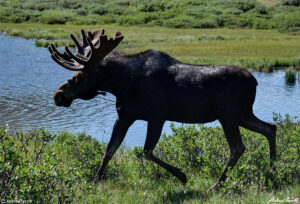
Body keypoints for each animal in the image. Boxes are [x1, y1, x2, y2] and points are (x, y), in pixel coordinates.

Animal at [47, 28, 276, 190]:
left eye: (81, 76)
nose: (59, 95)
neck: (122, 85)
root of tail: (255, 81)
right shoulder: (124, 116)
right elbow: (110, 149)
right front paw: (95, 180)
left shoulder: (157, 116)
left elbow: (147, 151)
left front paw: (182, 176)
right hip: (243, 114)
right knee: (270, 127)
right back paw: (272, 172)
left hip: (228, 115)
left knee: (238, 147)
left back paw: (217, 185)